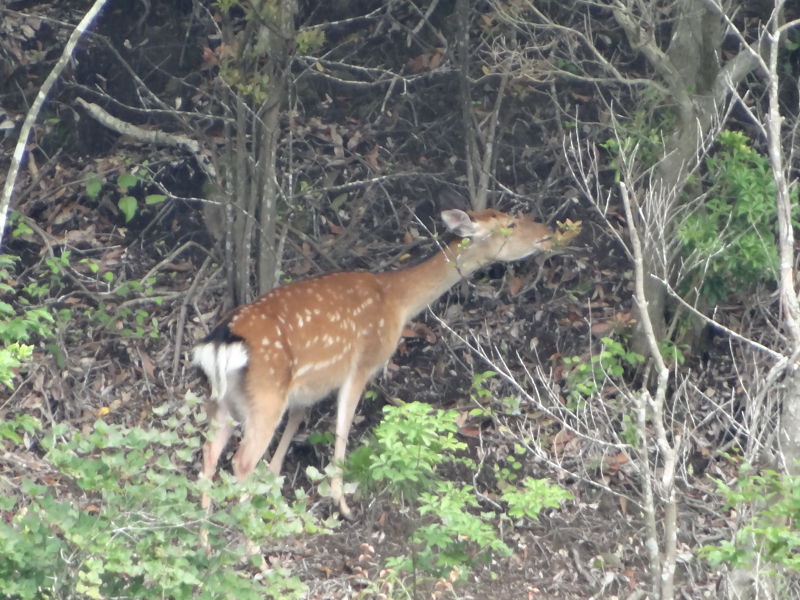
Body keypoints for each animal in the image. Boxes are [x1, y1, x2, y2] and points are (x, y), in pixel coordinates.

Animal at [197, 209, 552, 516]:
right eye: (510, 224)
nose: (547, 234)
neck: (396, 302)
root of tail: (221, 342)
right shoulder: (362, 363)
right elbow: (341, 430)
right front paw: (341, 504)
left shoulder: (310, 384)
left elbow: (298, 418)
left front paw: (275, 483)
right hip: (265, 396)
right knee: (240, 462)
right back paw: (250, 543)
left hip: (219, 400)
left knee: (208, 455)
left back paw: (204, 536)